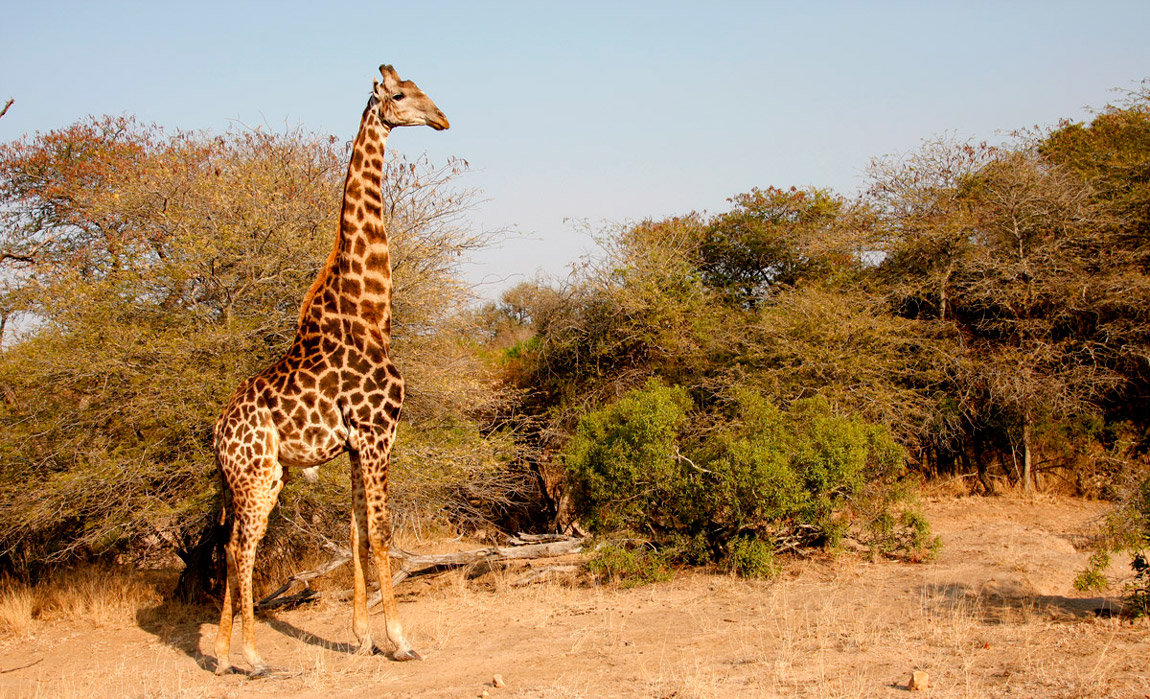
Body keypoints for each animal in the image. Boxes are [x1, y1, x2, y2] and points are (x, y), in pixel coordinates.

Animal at [212, 64, 449, 676]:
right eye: (399, 95)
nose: (442, 118)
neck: (369, 313)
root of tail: (216, 433)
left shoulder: (354, 443)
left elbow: (357, 532)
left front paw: (363, 638)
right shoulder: (377, 431)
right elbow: (383, 532)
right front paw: (400, 641)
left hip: (247, 478)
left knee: (229, 545)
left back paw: (221, 657)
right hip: (259, 474)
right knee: (243, 546)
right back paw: (253, 657)